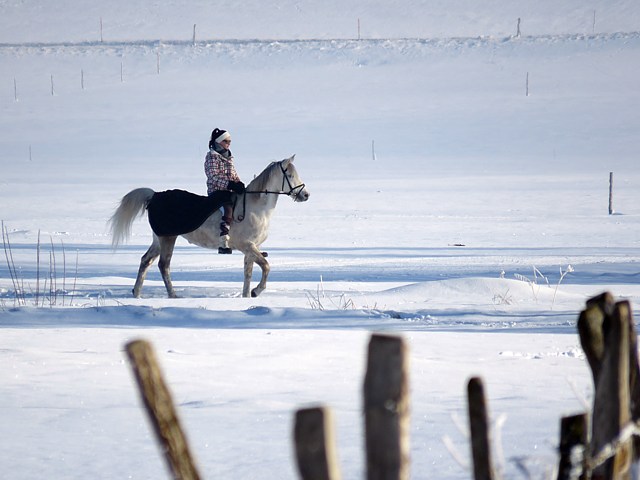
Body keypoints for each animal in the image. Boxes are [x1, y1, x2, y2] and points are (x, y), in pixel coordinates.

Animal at [108, 156, 310, 298]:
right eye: (289, 175)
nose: (305, 195)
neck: (256, 206)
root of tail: (155, 195)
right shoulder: (248, 246)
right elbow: (266, 267)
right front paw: (256, 291)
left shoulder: (251, 249)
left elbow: (248, 273)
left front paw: (246, 295)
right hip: (168, 238)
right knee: (163, 265)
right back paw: (173, 295)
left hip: (158, 239)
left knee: (145, 261)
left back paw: (137, 293)